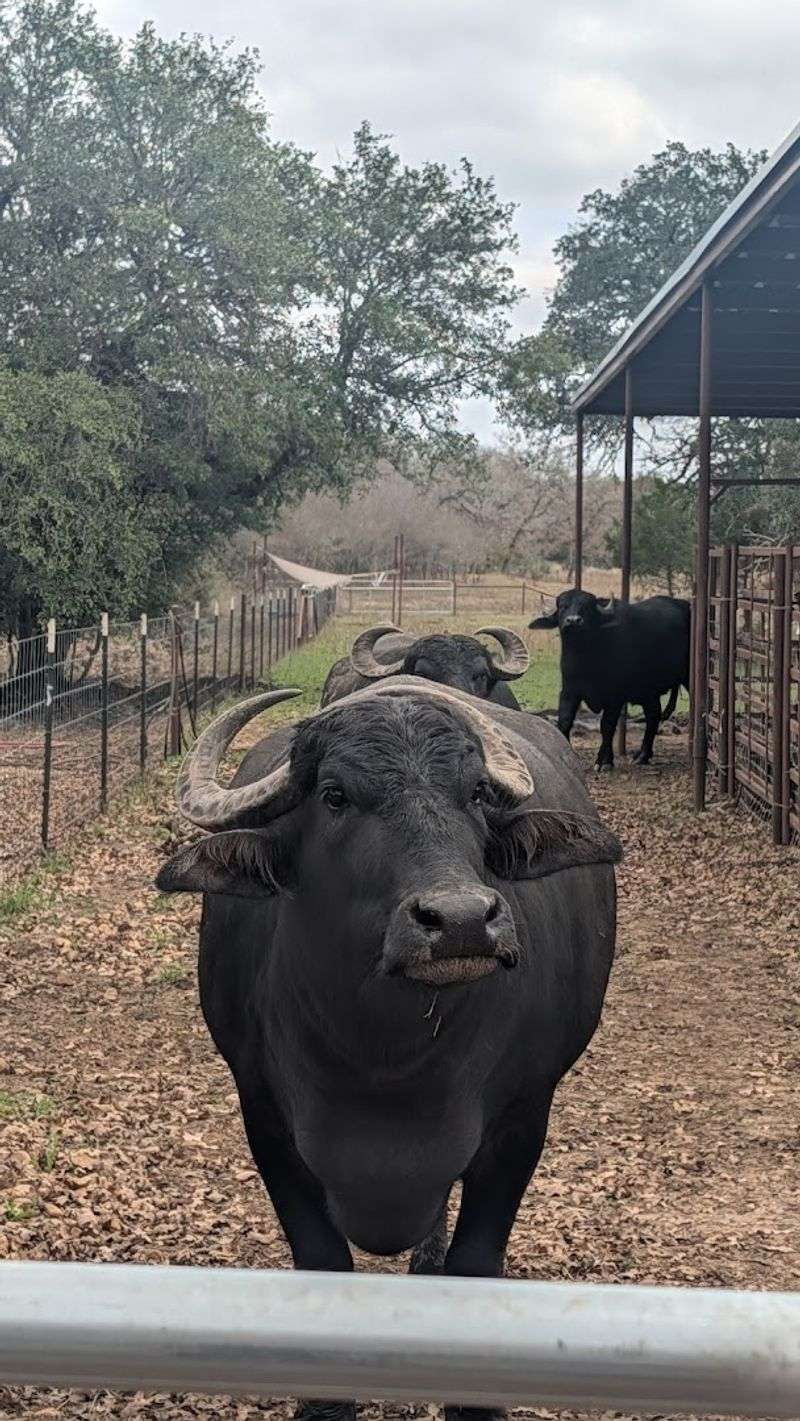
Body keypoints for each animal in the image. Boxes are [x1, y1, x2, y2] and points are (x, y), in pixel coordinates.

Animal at [156, 679, 621, 1421]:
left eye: (476, 793)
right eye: (335, 796)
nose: (461, 920)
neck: (386, 1061)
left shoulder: (523, 1120)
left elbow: (476, 1262)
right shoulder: (264, 1116)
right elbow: (321, 1259)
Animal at [530, 588, 691, 770]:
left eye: (587, 608)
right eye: (563, 606)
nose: (574, 621)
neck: (586, 658)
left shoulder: (615, 697)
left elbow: (607, 726)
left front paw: (604, 761)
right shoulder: (569, 691)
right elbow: (564, 721)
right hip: (648, 692)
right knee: (653, 716)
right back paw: (642, 755)